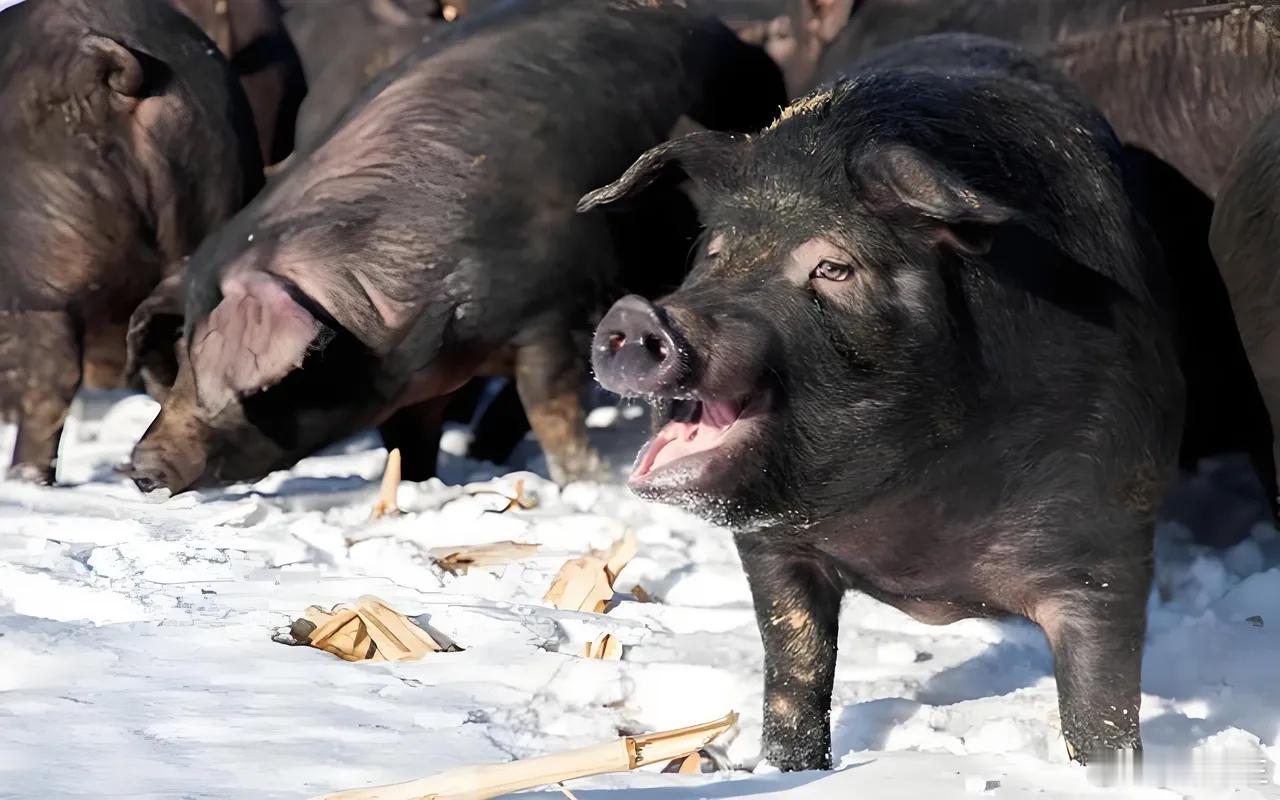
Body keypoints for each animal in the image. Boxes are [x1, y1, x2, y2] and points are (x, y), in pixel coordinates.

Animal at [586, 34, 1182, 773]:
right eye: (715, 254)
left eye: (833, 267)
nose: (641, 313)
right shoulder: (772, 548)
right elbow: (795, 671)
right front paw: (788, 770)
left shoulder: (1110, 542)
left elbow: (1101, 709)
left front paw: (1109, 776)